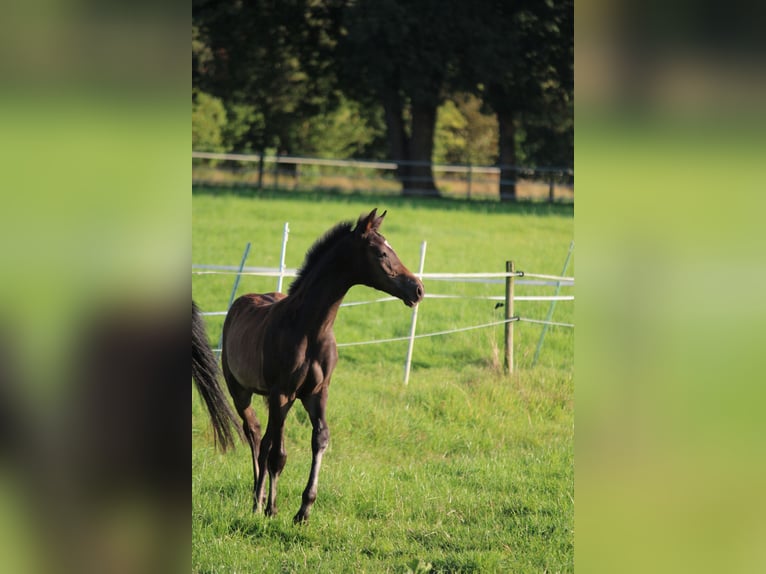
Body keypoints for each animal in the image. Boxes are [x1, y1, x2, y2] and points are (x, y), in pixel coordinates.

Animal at [222, 209, 426, 524]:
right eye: (381, 252)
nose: (417, 289)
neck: (310, 328)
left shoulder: (317, 393)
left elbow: (320, 439)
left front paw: (303, 510)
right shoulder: (283, 393)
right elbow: (278, 455)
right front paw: (272, 509)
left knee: (264, 440)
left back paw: (262, 498)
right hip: (242, 392)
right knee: (255, 434)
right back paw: (258, 501)